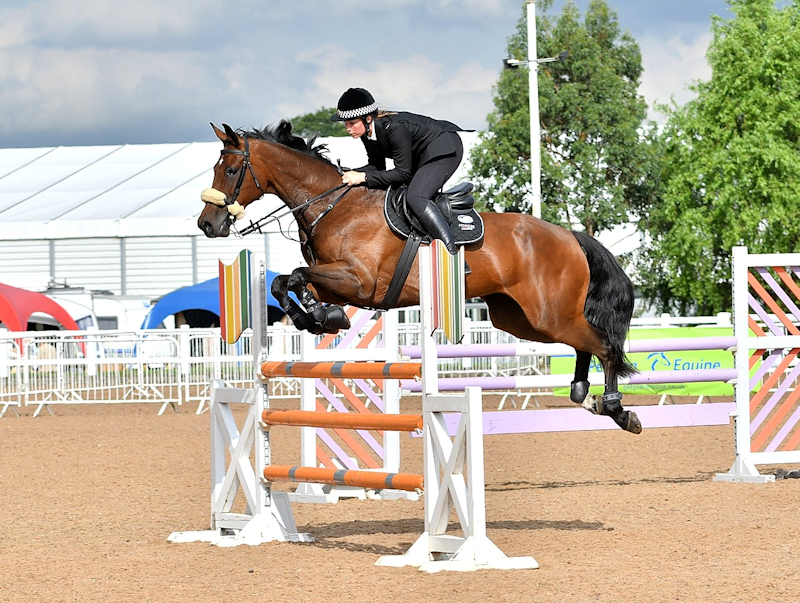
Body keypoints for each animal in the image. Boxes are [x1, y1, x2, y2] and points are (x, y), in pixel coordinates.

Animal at [200, 122, 644, 434]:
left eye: (233, 169)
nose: (207, 224)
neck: (334, 206)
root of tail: (570, 236)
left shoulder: (360, 282)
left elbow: (293, 277)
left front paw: (320, 316)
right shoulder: (339, 284)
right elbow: (286, 283)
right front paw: (319, 318)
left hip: (548, 314)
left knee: (603, 345)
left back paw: (618, 410)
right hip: (521, 319)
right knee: (583, 342)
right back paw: (584, 396)